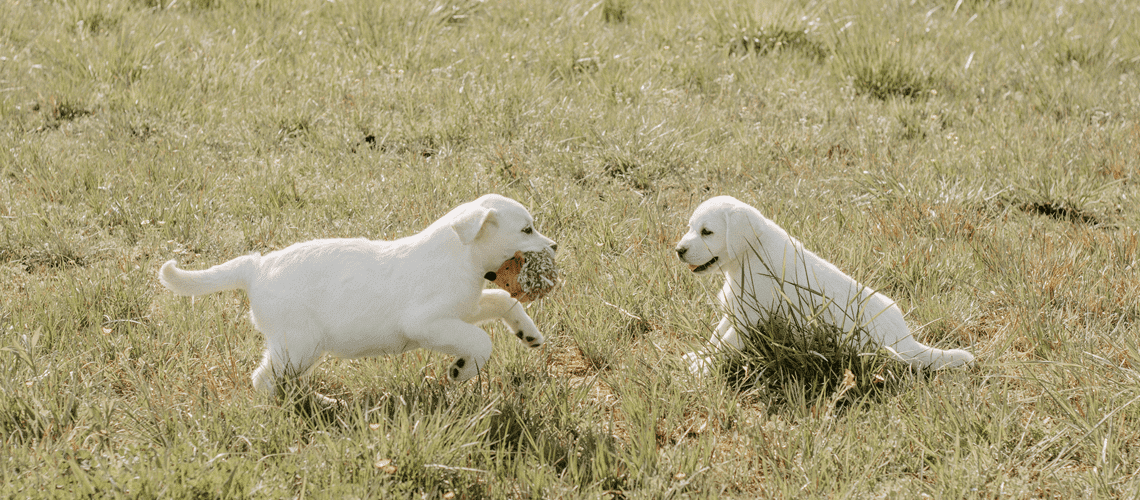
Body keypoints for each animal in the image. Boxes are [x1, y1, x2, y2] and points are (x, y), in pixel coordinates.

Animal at [159, 194, 556, 396]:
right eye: (527, 229)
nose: (555, 245)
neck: (461, 255)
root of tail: (255, 269)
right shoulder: (427, 322)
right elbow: (479, 341)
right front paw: (461, 370)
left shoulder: (465, 307)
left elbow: (502, 300)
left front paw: (529, 333)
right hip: (298, 345)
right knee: (265, 380)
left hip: (302, 348)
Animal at [670, 195, 975, 375]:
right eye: (690, 227)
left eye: (707, 232)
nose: (678, 250)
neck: (748, 255)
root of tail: (907, 342)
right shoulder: (735, 310)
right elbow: (715, 338)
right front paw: (698, 357)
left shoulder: (750, 318)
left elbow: (725, 344)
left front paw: (702, 367)